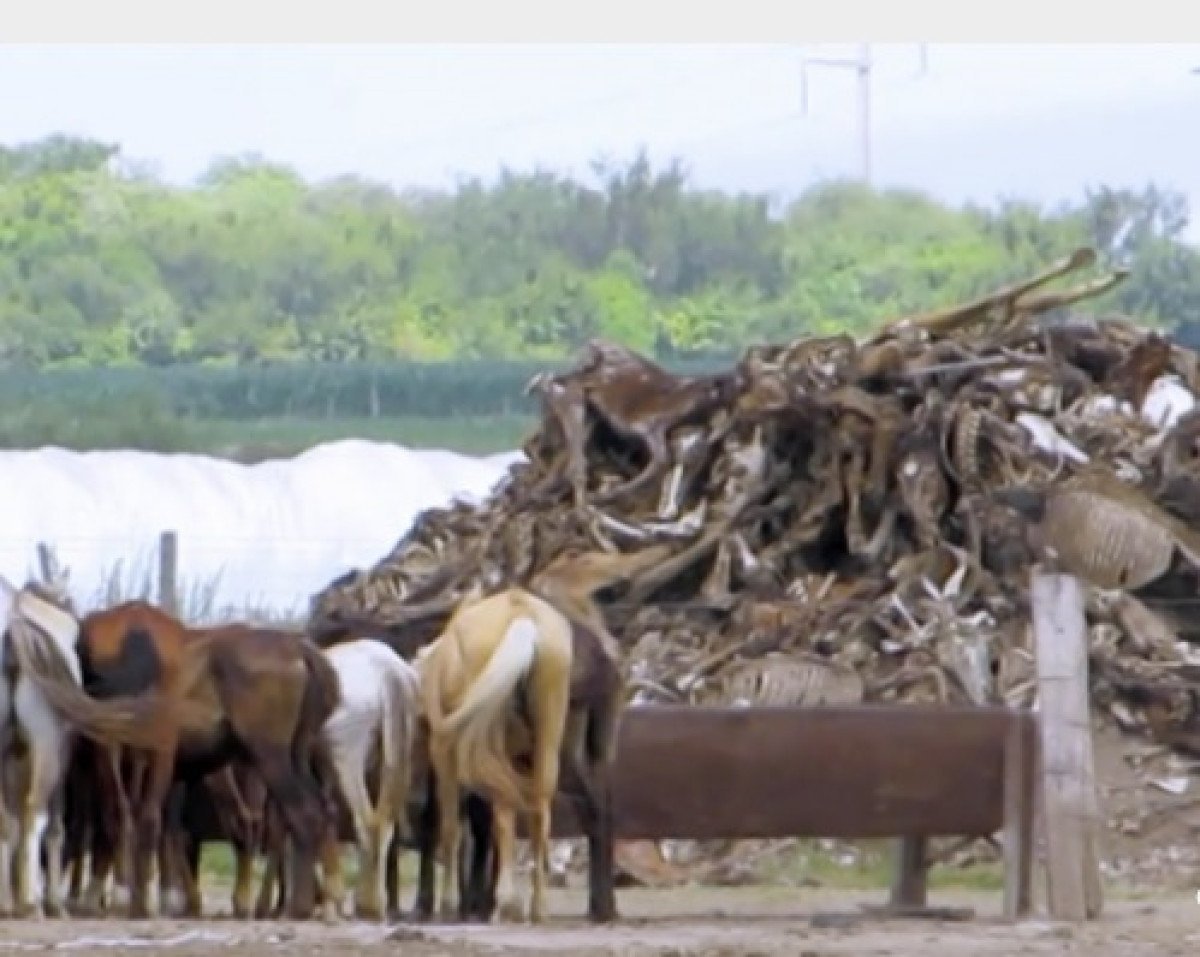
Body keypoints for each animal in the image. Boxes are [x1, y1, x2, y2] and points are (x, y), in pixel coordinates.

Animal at [10, 599, 343, 921]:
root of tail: (300, 649)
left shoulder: (129, 753)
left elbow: (123, 820)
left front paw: (122, 900)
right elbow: (146, 822)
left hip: (269, 756)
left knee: (300, 813)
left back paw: (295, 906)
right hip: (292, 755)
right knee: (312, 813)